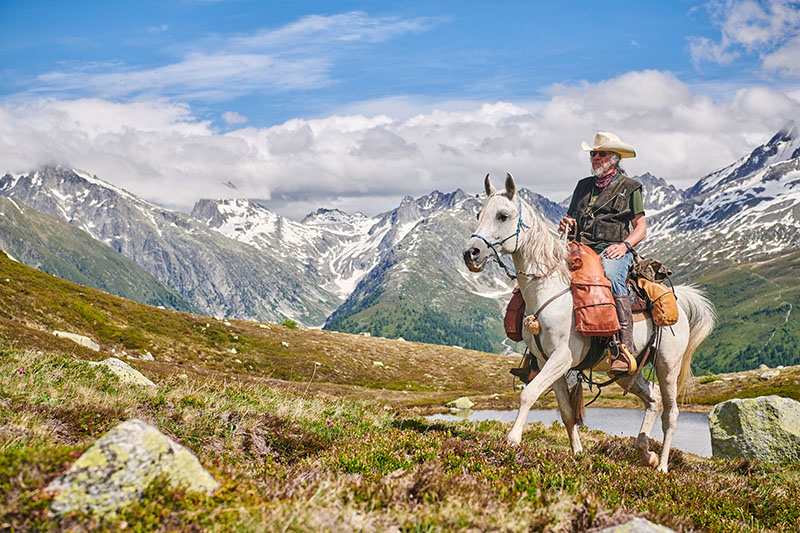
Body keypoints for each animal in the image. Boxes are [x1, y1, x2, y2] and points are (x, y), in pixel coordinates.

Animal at [466, 172, 716, 472]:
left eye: (503, 215)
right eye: (479, 214)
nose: (472, 253)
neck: (548, 288)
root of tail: (677, 298)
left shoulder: (562, 357)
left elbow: (529, 393)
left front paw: (512, 440)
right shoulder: (547, 360)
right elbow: (566, 411)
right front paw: (577, 453)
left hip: (668, 365)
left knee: (671, 412)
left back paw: (663, 465)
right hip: (627, 373)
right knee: (653, 400)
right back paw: (646, 452)